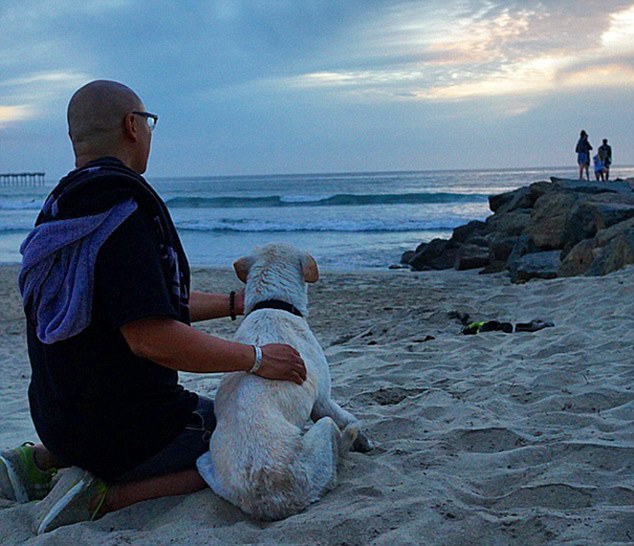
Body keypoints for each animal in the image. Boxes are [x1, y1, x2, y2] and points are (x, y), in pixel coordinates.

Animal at [195, 242, 368, 520]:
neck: (272, 305)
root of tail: (270, 497)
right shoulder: (323, 401)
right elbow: (349, 418)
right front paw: (364, 441)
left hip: (203, 462)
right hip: (322, 433)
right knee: (334, 454)